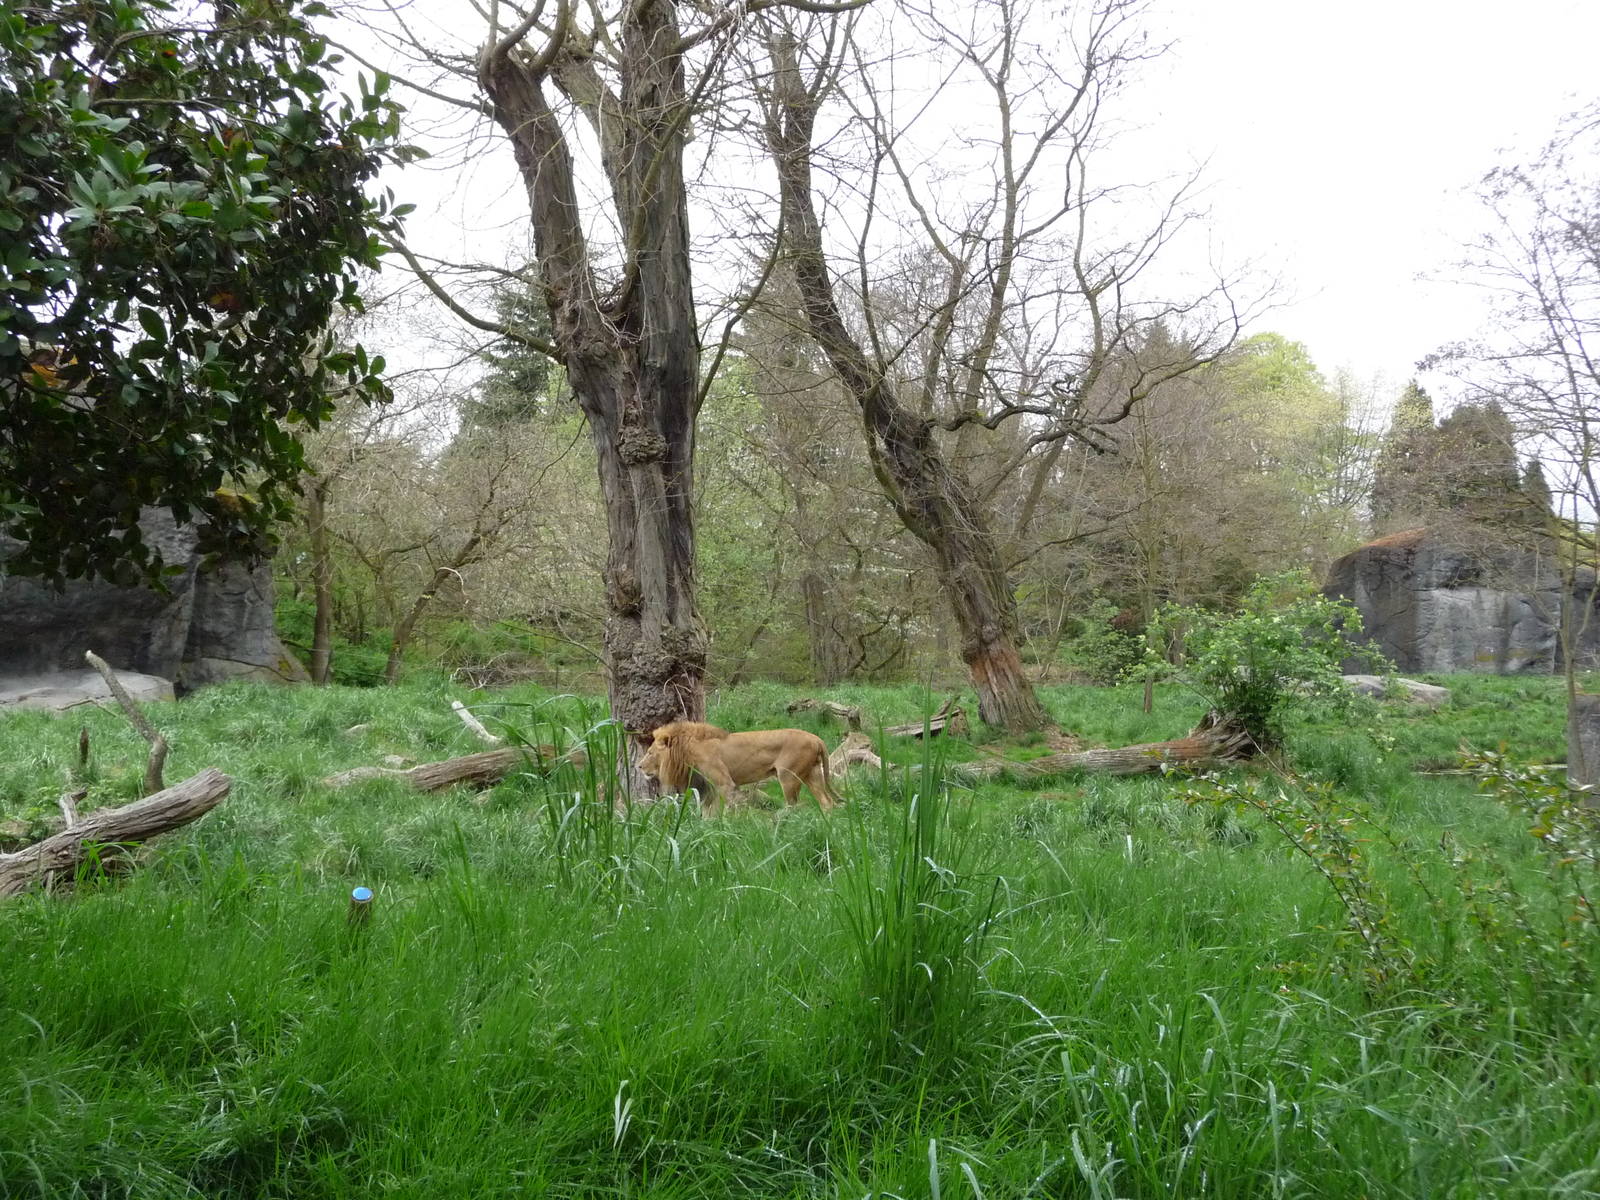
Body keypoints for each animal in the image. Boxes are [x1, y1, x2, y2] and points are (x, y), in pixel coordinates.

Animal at [637, 721, 841, 816]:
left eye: (650, 752)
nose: (638, 766)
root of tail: (816, 738)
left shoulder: (724, 783)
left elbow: (719, 811)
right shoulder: (708, 787)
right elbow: (707, 811)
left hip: (788, 777)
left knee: (792, 805)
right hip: (812, 774)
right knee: (827, 802)